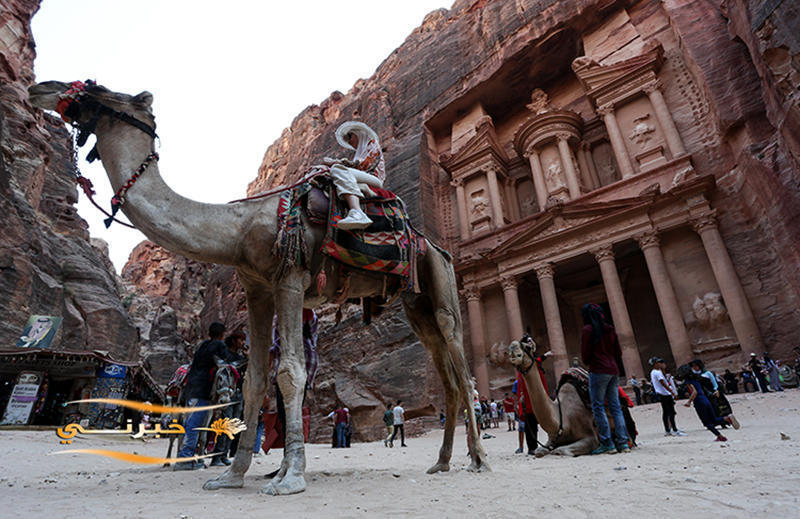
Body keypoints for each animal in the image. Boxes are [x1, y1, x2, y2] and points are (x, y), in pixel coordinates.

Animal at [29, 80, 488, 496]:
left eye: (97, 89)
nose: (41, 88)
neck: (238, 229)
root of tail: (435, 246)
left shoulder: (290, 281)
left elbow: (290, 373)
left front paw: (290, 479)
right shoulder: (256, 289)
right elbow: (253, 382)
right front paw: (231, 476)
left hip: (440, 281)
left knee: (461, 364)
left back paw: (479, 460)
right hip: (415, 302)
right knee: (446, 374)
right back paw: (442, 462)